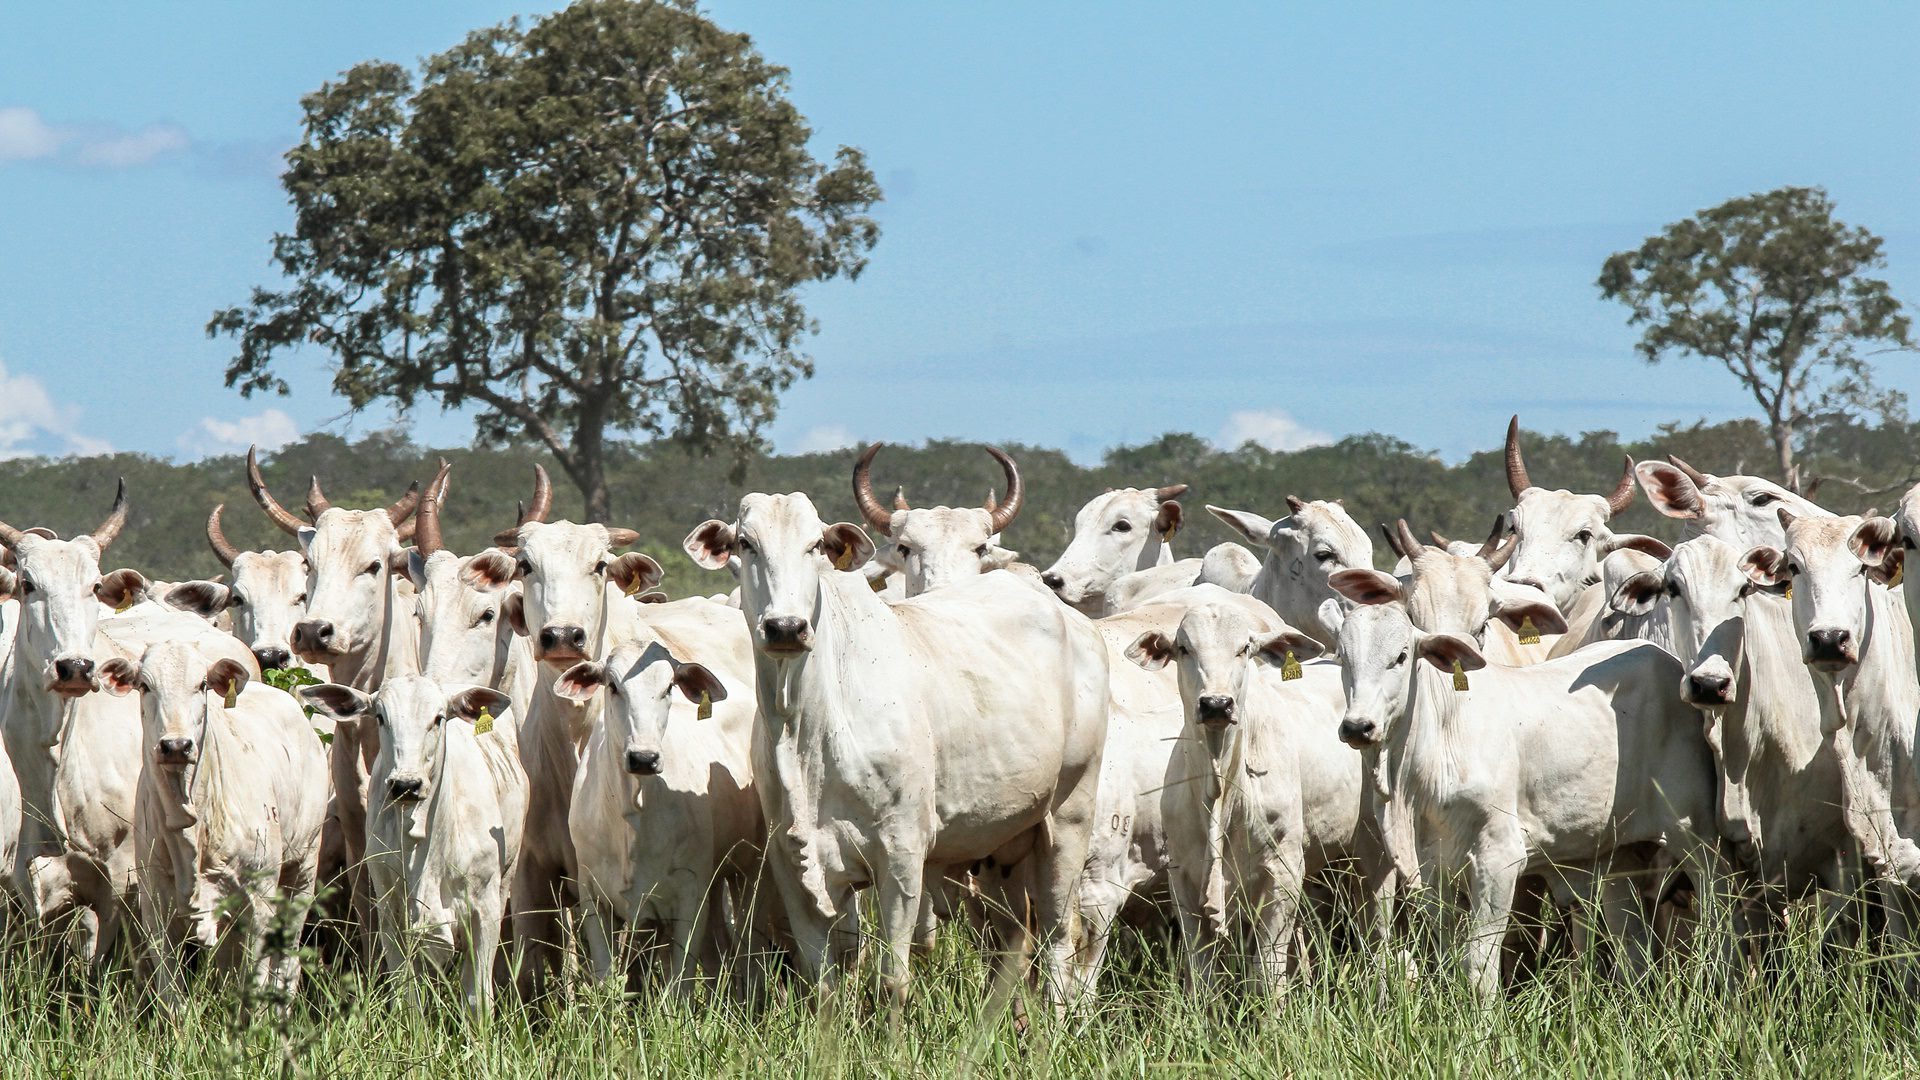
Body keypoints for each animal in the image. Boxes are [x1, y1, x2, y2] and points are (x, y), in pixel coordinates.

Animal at [100, 638, 326, 991]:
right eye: (145, 686)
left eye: (202, 684)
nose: (176, 746)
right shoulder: (156, 910)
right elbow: (172, 993)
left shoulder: (259, 905)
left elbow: (254, 986)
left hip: (303, 868)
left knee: (287, 968)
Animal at [301, 672, 526, 1006]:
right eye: (380, 717)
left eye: (438, 718)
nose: (406, 784)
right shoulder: (391, 915)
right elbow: (407, 996)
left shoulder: (485, 910)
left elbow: (477, 997)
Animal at [691, 495, 1113, 999]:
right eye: (745, 543)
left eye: (816, 545)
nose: (786, 627)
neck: (805, 732)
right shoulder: (792, 861)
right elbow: (822, 980)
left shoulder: (901, 855)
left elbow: (893, 978)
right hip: (1002, 841)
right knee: (1011, 941)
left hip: (1071, 813)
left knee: (1059, 935)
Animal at [1336, 591, 1728, 999]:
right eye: (1342, 655)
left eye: (1400, 656)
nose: (1358, 726)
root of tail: (1668, 663)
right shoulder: (1432, 871)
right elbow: (1448, 958)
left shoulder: (1499, 859)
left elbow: (1478, 968)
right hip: (1619, 854)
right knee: (1631, 942)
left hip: (1697, 835)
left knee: (1718, 911)